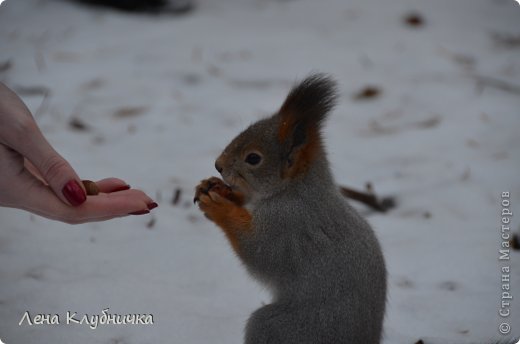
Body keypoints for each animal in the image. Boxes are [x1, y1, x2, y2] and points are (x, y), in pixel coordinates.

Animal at [194, 74, 386, 342]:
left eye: (253, 158)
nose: (218, 165)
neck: (294, 189)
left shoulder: (286, 224)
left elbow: (260, 254)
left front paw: (220, 208)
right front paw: (215, 187)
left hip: (285, 329)